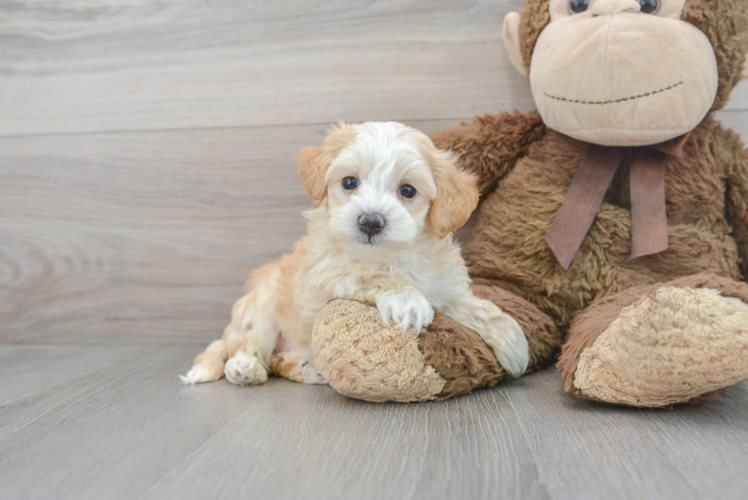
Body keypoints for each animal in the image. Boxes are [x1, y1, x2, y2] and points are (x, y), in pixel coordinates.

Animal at [182, 122, 532, 386]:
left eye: (407, 190)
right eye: (350, 182)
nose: (371, 221)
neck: (392, 255)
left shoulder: (443, 285)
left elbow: (473, 306)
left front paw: (513, 342)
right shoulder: (325, 275)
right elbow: (371, 275)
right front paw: (407, 301)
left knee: (282, 362)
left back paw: (312, 371)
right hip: (262, 307)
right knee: (250, 347)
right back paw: (245, 368)